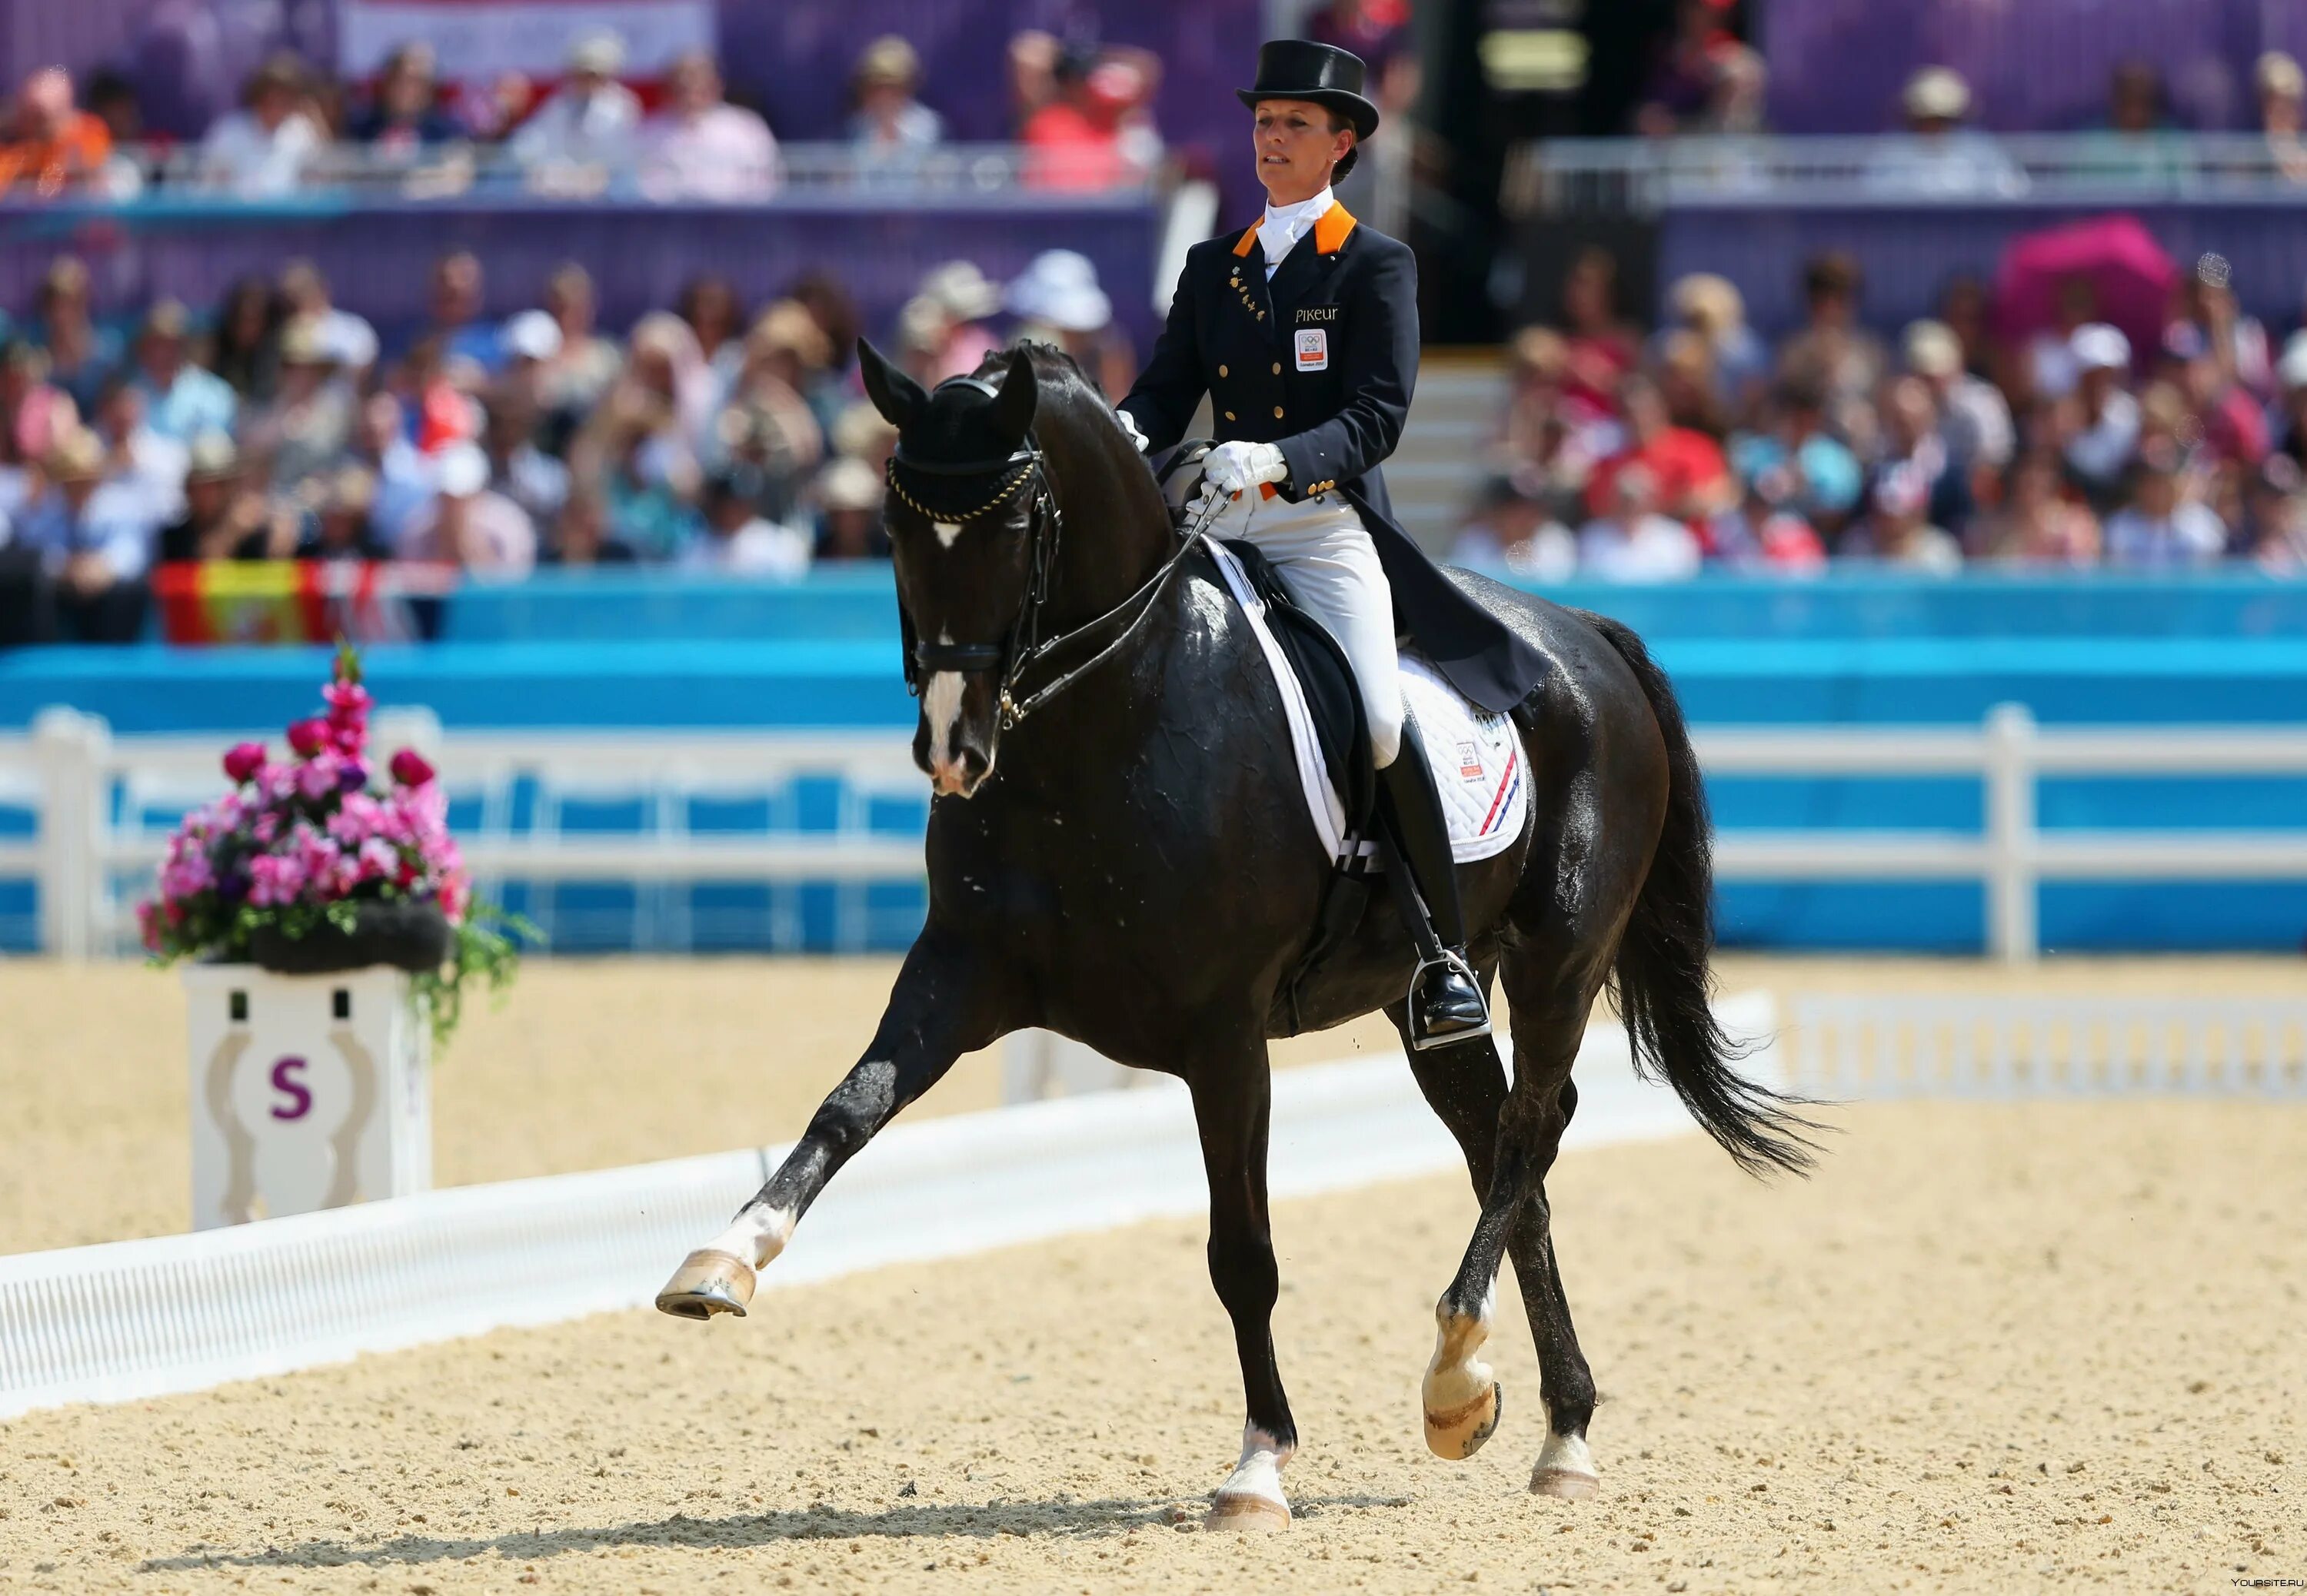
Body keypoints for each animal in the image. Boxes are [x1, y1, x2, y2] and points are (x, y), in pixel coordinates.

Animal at [660, 344, 1809, 1531]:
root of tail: (1587, 634)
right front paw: (720, 1262)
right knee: (1506, 1150)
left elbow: (1242, 1255)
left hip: (1559, 959)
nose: (952, 746)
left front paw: (1259, 1467)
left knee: (1532, 1125)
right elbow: (847, 1107)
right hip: (1429, 1002)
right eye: (893, 521)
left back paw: (1461, 1372)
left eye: (1017, 522)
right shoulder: (959, 976)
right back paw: (1544, 1422)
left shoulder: (1224, 1038)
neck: (1099, 725)